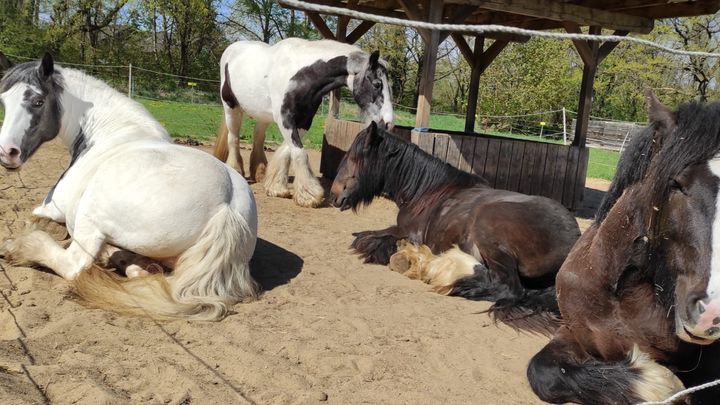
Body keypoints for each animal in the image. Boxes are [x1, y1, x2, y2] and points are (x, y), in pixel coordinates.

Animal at [0, 52, 258, 318]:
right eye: (4, 101)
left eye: (38, 101)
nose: (7, 153)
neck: (110, 134)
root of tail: (226, 205)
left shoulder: (51, 208)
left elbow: (34, 219)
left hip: (91, 216)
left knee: (74, 264)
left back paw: (18, 248)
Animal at [214, 37, 394, 207]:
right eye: (377, 84)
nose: (388, 123)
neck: (302, 75)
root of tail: (232, 49)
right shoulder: (285, 119)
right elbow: (300, 153)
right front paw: (309, 195)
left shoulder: (304, 121)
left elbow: (288, 152)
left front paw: (276, 186)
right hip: (231, 107)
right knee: (233, 138)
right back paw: (236, 169)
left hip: (262, 114)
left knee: (258, 137)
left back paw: (260, 172)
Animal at [524, 92, 720, 404]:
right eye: (676, 183)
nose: (712, 312)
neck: (619, 296)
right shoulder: (571, 333)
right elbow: (543, 372)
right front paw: (655, 382)